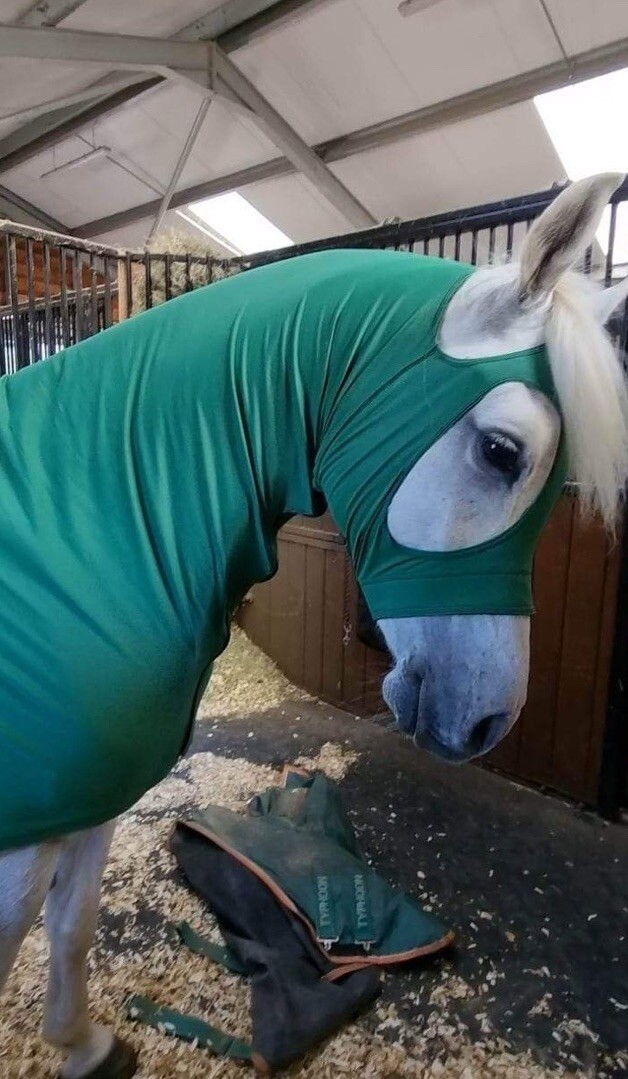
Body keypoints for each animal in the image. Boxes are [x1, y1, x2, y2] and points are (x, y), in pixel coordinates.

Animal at [0, 173, 627, 1079]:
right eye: (504, 451)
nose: (487, 719)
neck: (88, 524)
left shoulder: (84, 794)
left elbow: (71, 924)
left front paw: (83, 1044)